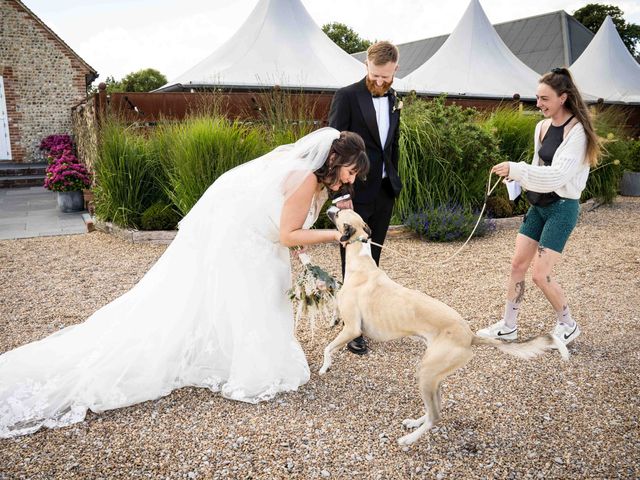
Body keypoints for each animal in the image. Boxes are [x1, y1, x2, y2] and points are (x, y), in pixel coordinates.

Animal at [322, 210, 568, 446]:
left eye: (339, 213)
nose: (329, 208)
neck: (361, 262)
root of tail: (470, 335)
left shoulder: (352, 329)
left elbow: (328, 348)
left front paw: (324, 368)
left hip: (427, 373)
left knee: (436, 416)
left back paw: (409, 439)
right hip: (435, 375)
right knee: (436, 406)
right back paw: (415, 422)